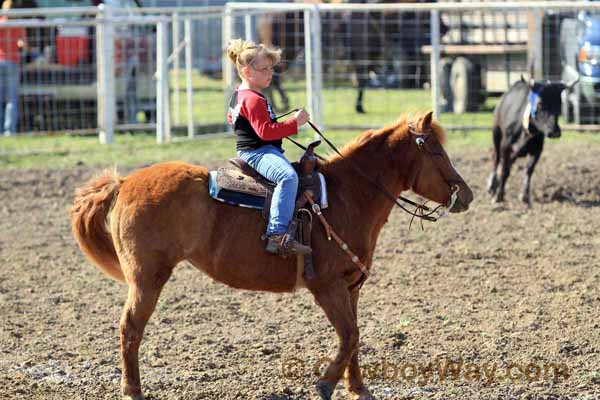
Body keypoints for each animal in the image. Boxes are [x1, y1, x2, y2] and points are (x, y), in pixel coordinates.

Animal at [70, 111, 474, 398]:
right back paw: (132, 391)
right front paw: (325, 384)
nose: (466, 195)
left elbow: (356, 337)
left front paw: (358, 389)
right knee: (130, 329)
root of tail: (124, 183)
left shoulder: (352, 287)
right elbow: (348, 335)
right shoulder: (326, 286)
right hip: (147, 279)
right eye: (436, 151)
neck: (348, 194)